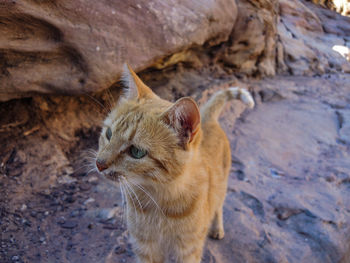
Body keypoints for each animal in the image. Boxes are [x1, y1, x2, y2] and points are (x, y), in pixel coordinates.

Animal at [95, 64, 254, 263]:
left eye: (136, 152)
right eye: (108, 134)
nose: (99, 164)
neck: (158, 200)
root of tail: (208, 118)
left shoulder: (187, 251)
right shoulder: (145, 247)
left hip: (222, 185)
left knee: (218, 206)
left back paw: (217, 228)